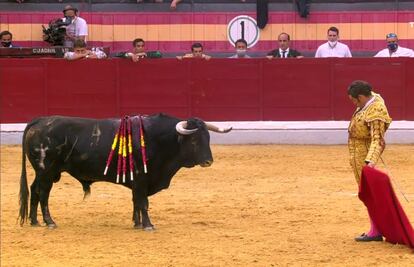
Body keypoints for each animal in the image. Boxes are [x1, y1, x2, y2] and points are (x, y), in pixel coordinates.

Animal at [18, 113, 233, 230]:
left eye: (208, 138)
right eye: (195, 140)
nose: (208, 161)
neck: (159, 138)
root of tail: (40, 121)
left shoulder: (137, 181)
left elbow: (136, 201)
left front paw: (137, 223)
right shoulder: (141, 177)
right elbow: (143, 202)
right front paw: (148, 225)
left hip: (42, 172)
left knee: (34, 190)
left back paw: (35, 221)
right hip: (47, 171)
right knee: (43, 194)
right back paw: (49, 221)